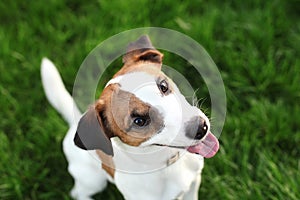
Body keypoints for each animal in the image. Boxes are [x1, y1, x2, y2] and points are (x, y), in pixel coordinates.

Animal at [41, 35, 219, 199]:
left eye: (163, 85)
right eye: (139, 121)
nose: (201, 127)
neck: (166, 163)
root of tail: (75, 122)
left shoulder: (194, 183)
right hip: (92, 181)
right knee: (78, 193)